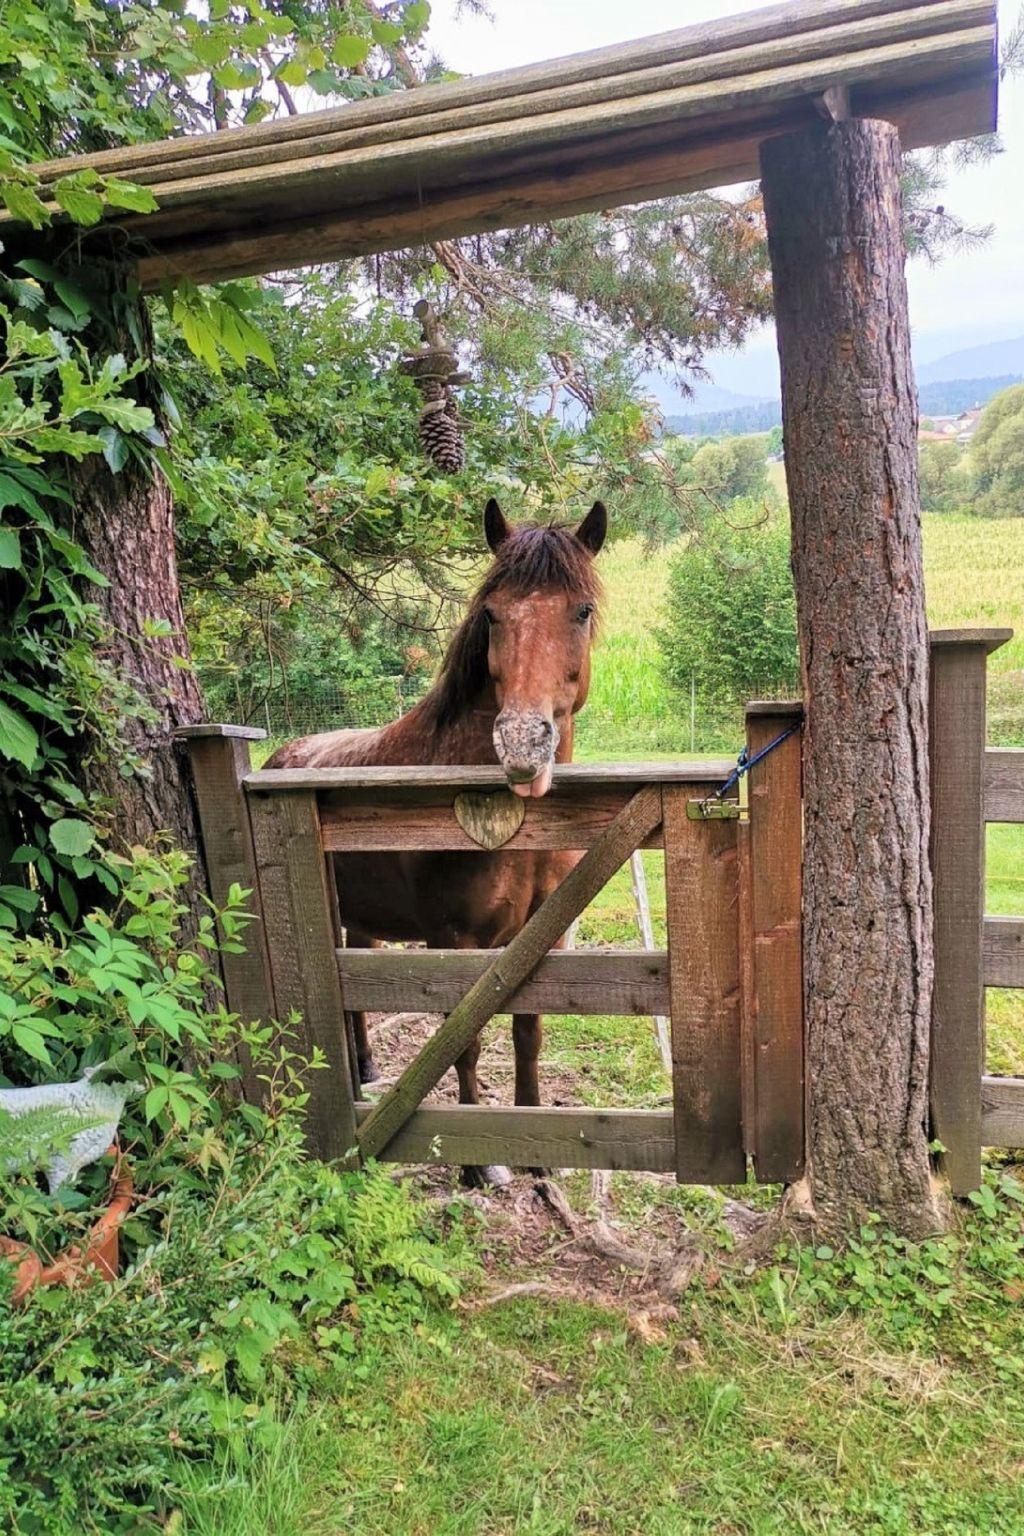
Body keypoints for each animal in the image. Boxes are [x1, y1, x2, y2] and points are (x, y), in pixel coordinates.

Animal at [264, 497, 607, 1179]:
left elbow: (528, 1034)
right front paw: (478, 1165)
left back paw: (367, 1070)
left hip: (360, 921)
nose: (522, 745)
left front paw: (538, 1147)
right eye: (492, 613)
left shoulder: (542, 941)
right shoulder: (456, 940)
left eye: (581, 610)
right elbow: (463, 1043)